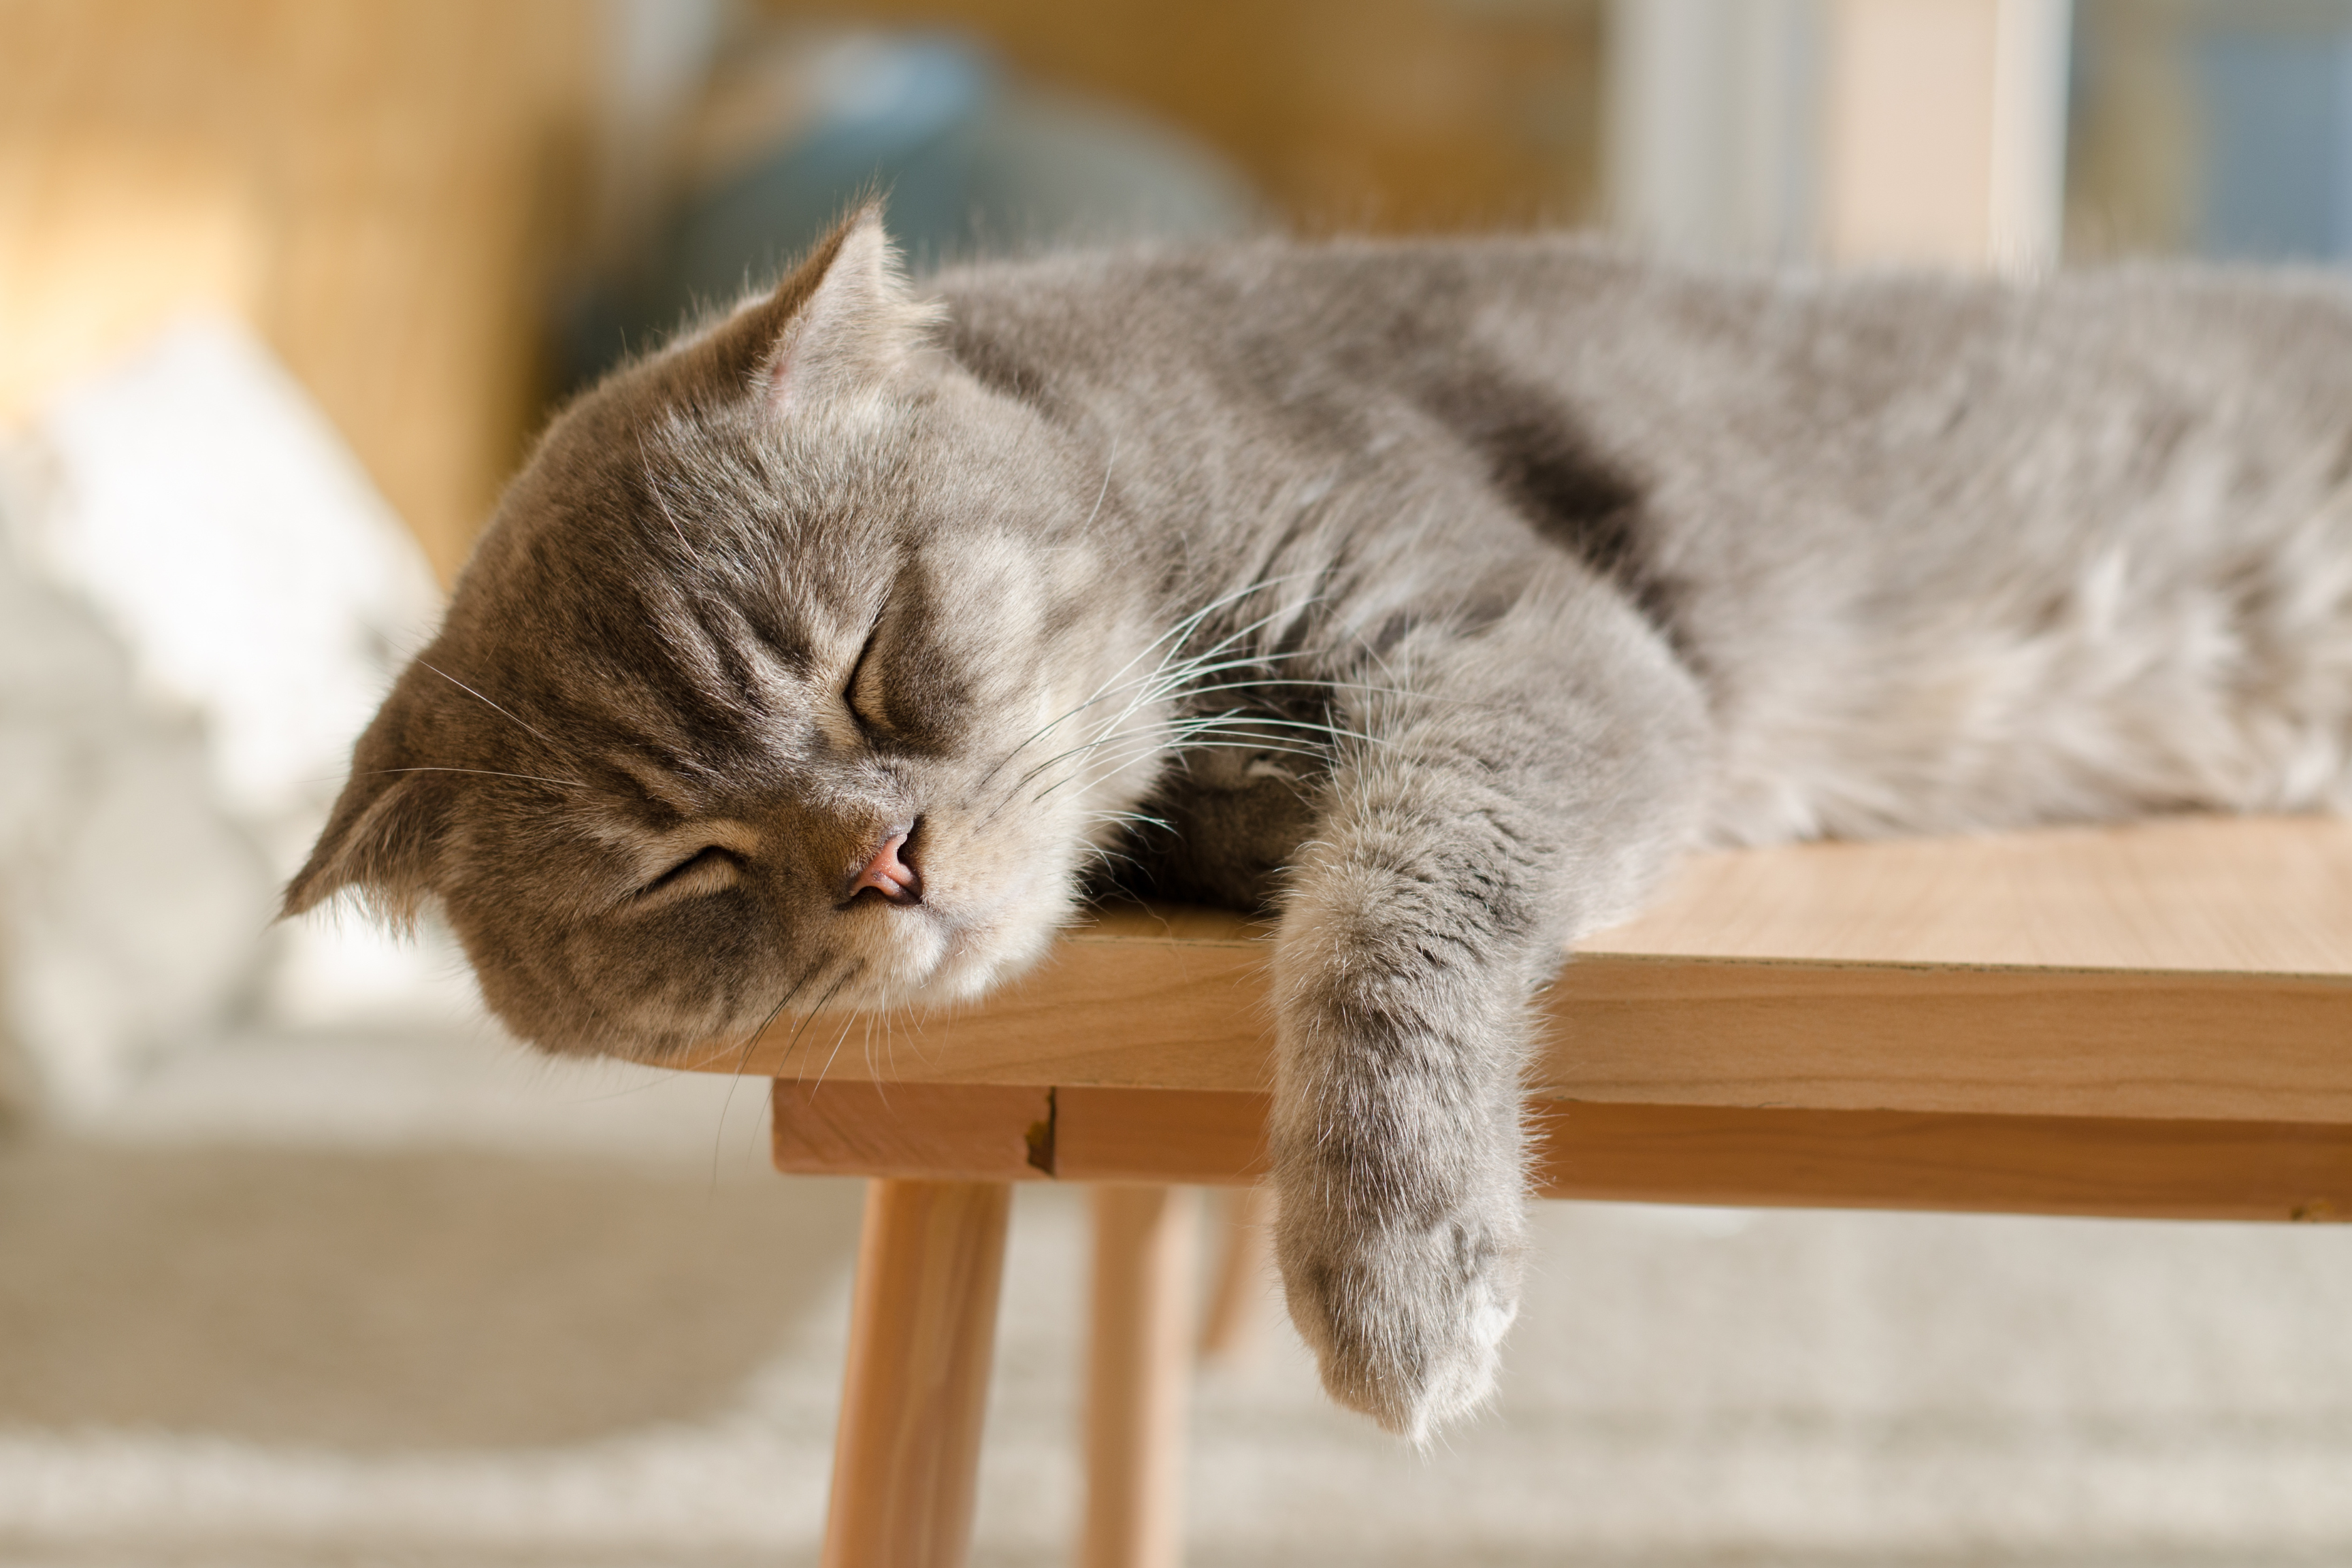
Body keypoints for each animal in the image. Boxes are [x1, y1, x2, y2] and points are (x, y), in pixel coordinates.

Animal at [284, 208, 2352, 1448]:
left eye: (866, 662)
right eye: (682, 862)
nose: (883, 859)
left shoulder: (1538, 645)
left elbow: (1385, 908)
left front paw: (1397, 1259)